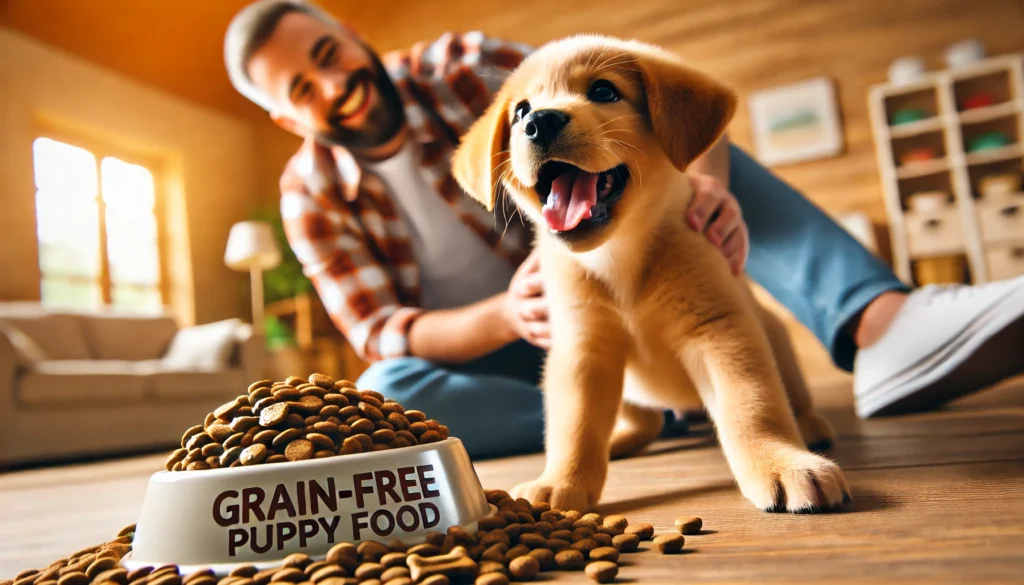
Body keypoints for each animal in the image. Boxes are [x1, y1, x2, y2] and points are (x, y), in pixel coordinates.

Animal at [454, 35, 847, 512]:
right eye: (521, 110)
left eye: (604, 91)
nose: (540, 121)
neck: (617, 255)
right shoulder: (581, 349)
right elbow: (574, 427)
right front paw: (560, 481)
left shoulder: (720, 328)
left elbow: (753, 406)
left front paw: (781, 463)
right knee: (646, 423)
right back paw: (619, 442)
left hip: (776, 339)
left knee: (790, 396)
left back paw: (809, 425)